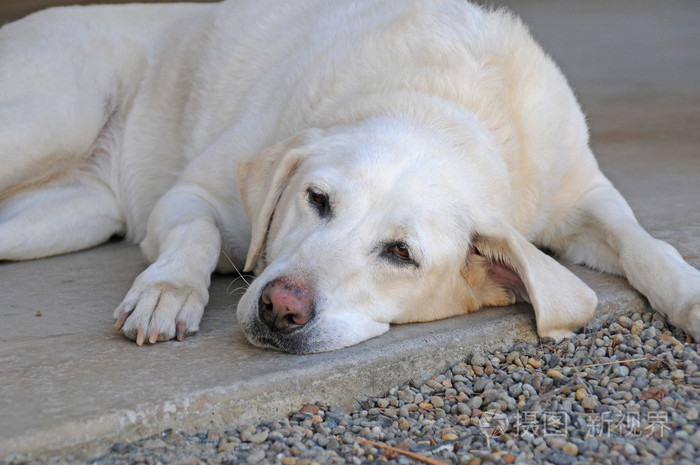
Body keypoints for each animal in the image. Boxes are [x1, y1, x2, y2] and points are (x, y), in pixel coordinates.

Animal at [1, 0, 700, 352]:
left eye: (401, 253)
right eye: (316, 199)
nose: (281, 307)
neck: (445, 102)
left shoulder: (581, 193)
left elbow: (644, 242)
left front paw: (690, 295)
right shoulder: (190, 194)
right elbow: (196, 234)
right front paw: (166, 291)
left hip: (72, 215)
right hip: (56, 115)